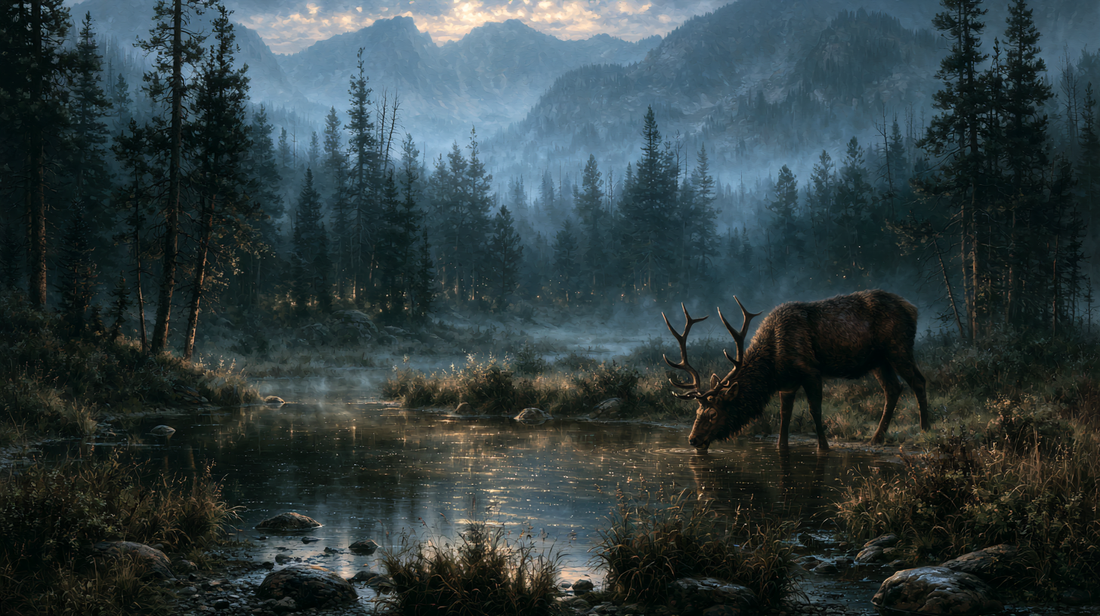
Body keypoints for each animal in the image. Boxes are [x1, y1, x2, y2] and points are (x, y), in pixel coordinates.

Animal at [662, 290, 930, 452]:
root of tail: (913, 308)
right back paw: (876, 438)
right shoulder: (787, 383)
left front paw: (824, 447)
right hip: (878, 360)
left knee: (918, 380)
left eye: (713, 414)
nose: (693, 440)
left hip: (898, 347)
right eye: (697, 411)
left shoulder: (810, 371)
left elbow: (814, 410)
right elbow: (785, 415)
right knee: (893, 389)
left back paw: (925, 429)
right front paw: (781, 446)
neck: (773, 365)